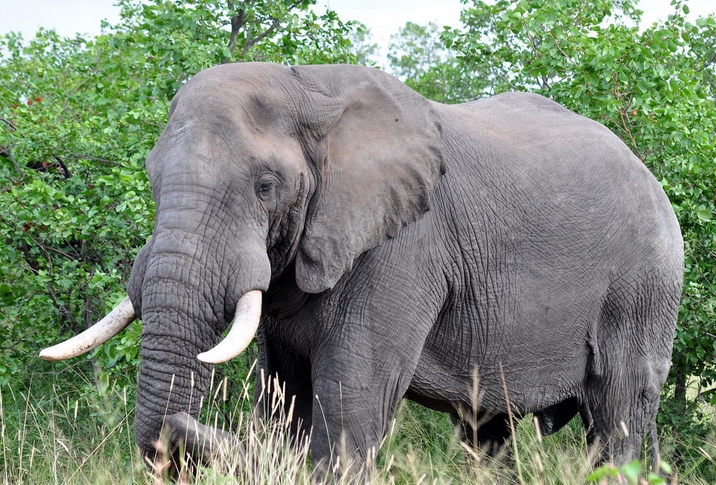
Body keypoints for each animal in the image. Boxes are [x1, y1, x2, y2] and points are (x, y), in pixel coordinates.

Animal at [40, 62, 683, 477]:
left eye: (266, 186)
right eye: (151, 177)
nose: (178, 424)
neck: (310, 87)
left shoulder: (403, 247)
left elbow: (352, 398)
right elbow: (285, 394)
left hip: (643, 285)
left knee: (620, 409)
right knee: (489, 430)